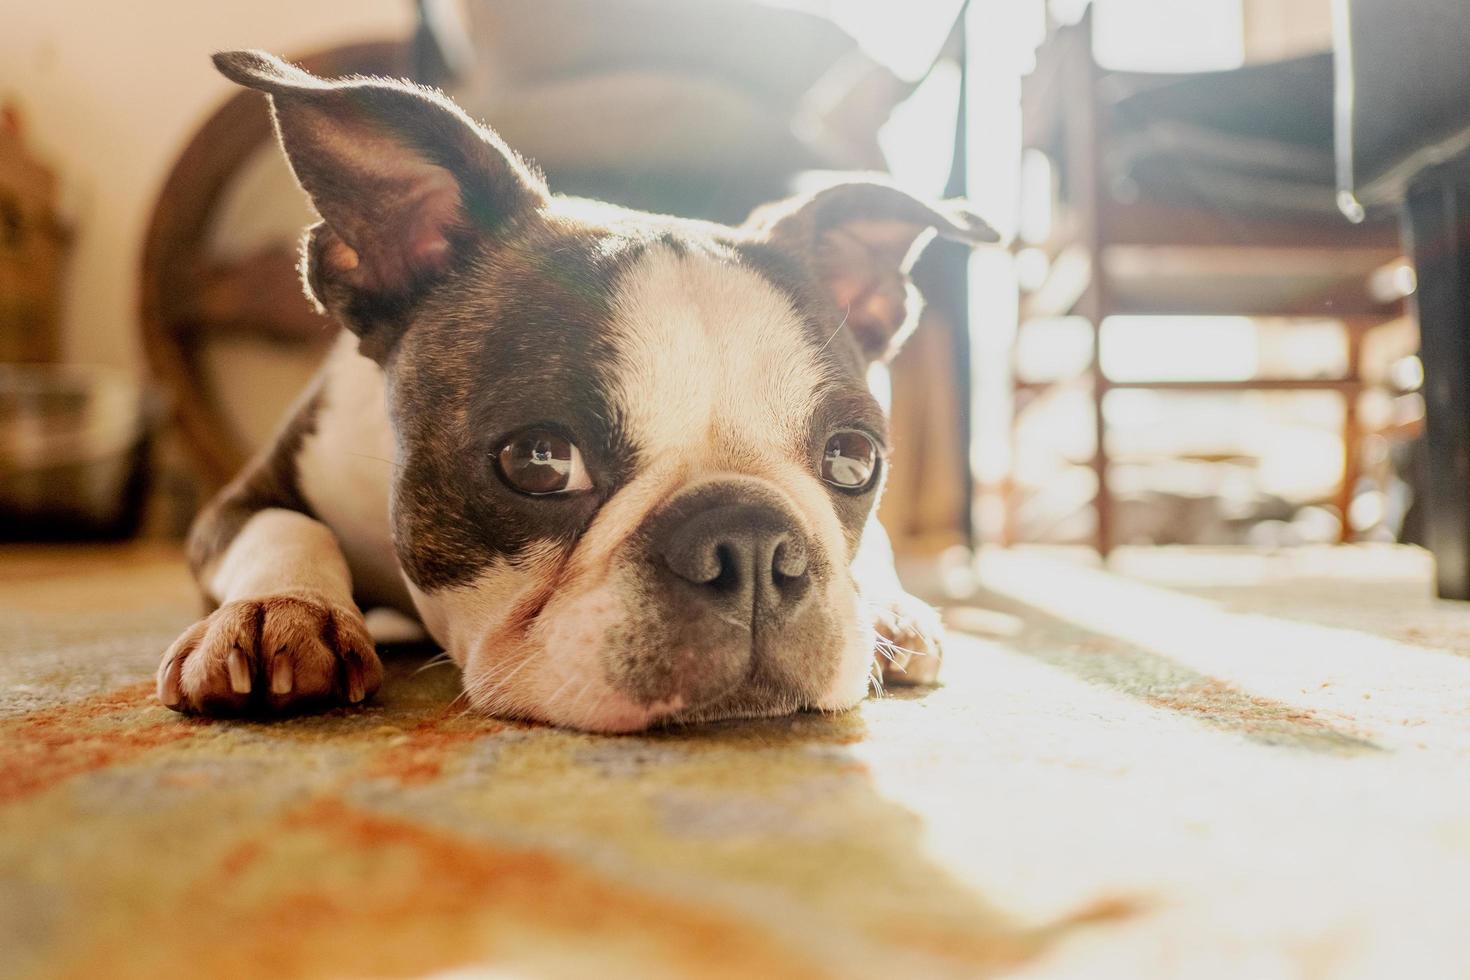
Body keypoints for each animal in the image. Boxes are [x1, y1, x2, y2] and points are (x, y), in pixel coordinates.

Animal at [155, 49, 993, 731]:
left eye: (853, 460)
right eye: (540, 460)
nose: (754, 544)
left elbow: (876, 543)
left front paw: (890, 607)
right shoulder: (242, 498)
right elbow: (288, 529)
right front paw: (279, 611)